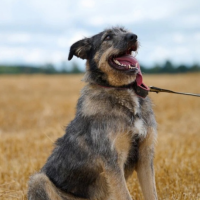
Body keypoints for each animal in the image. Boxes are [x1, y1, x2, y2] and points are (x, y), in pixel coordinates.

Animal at [27, 27, 158, 200]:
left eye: (125, 30)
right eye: (107, 37)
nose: (133, 36)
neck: (122, 90)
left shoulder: (145, 156)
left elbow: (152, 193)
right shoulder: (112, 161)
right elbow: (125, 195)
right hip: (38, 179)